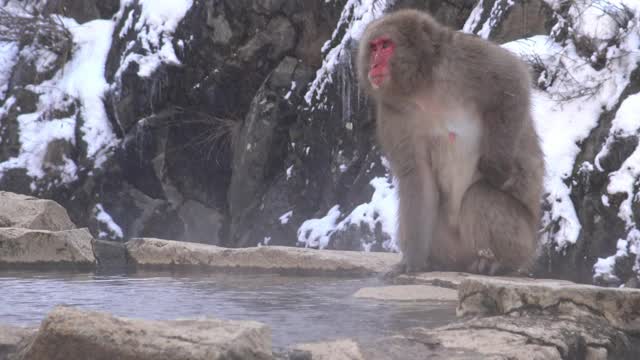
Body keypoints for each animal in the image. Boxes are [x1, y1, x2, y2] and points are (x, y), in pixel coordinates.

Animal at [358, 9, 544, 274]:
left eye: (386, 46)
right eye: (373, 48)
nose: (374, 64)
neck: (423, 88)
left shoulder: (461, 60)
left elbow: (512, 79)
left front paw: (496, 169)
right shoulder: (394, 114)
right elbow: (417, 176)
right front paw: (412, 261)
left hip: (523, 241)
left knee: (479, 197)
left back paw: (498, 263)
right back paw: (433, 261)